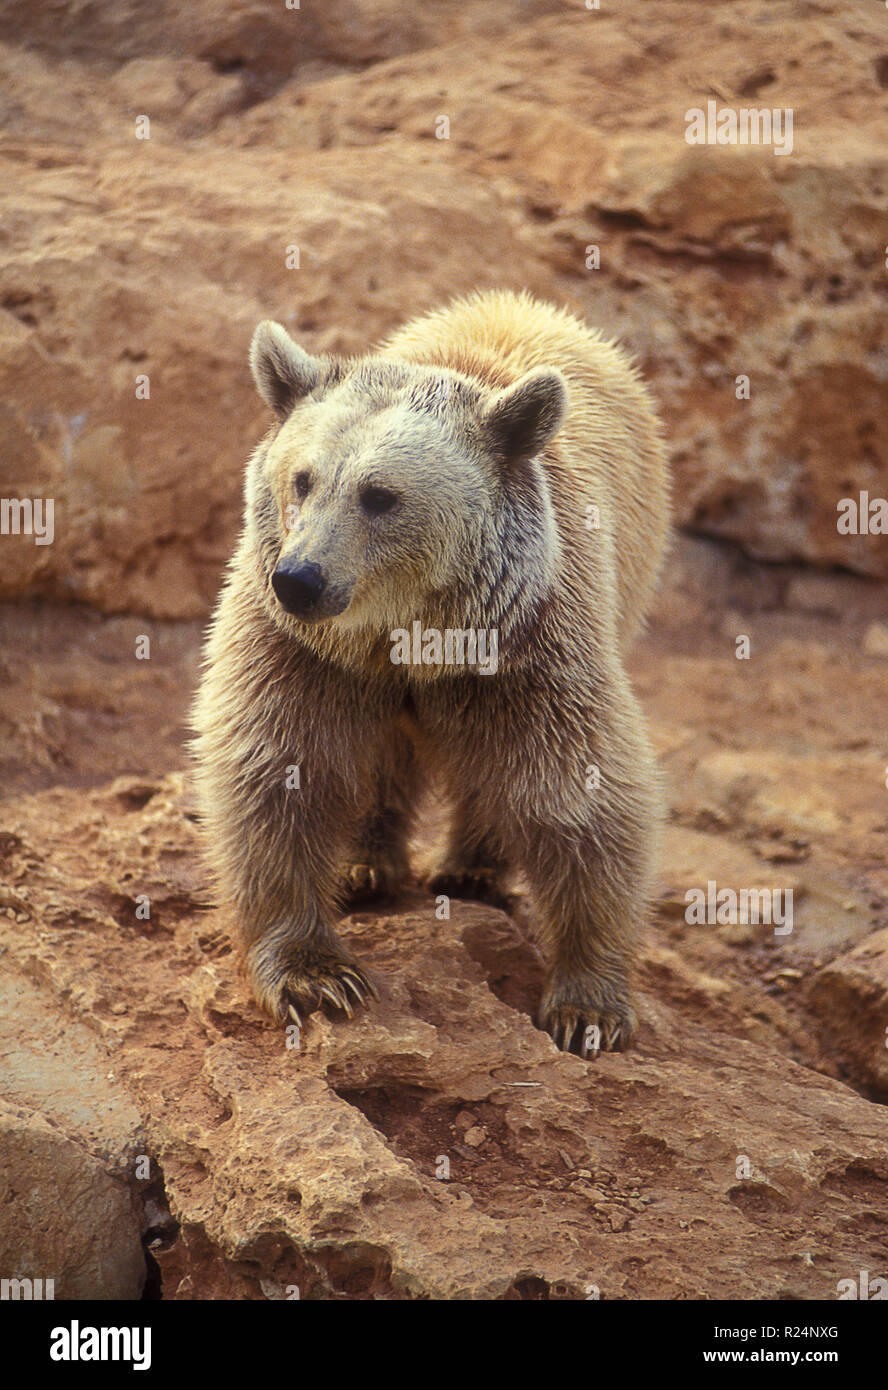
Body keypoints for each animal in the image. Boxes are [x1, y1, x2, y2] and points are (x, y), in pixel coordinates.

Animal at [193, 290, 667, 1050]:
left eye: (380, 495)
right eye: (302, 479)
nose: (298, 579)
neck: (400, 632)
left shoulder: (527, 644)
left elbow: (578, 788)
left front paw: (588, 1007)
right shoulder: (302, 652)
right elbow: (277, 768)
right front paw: (316, 975)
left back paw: (470, 866)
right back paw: (365, 864)